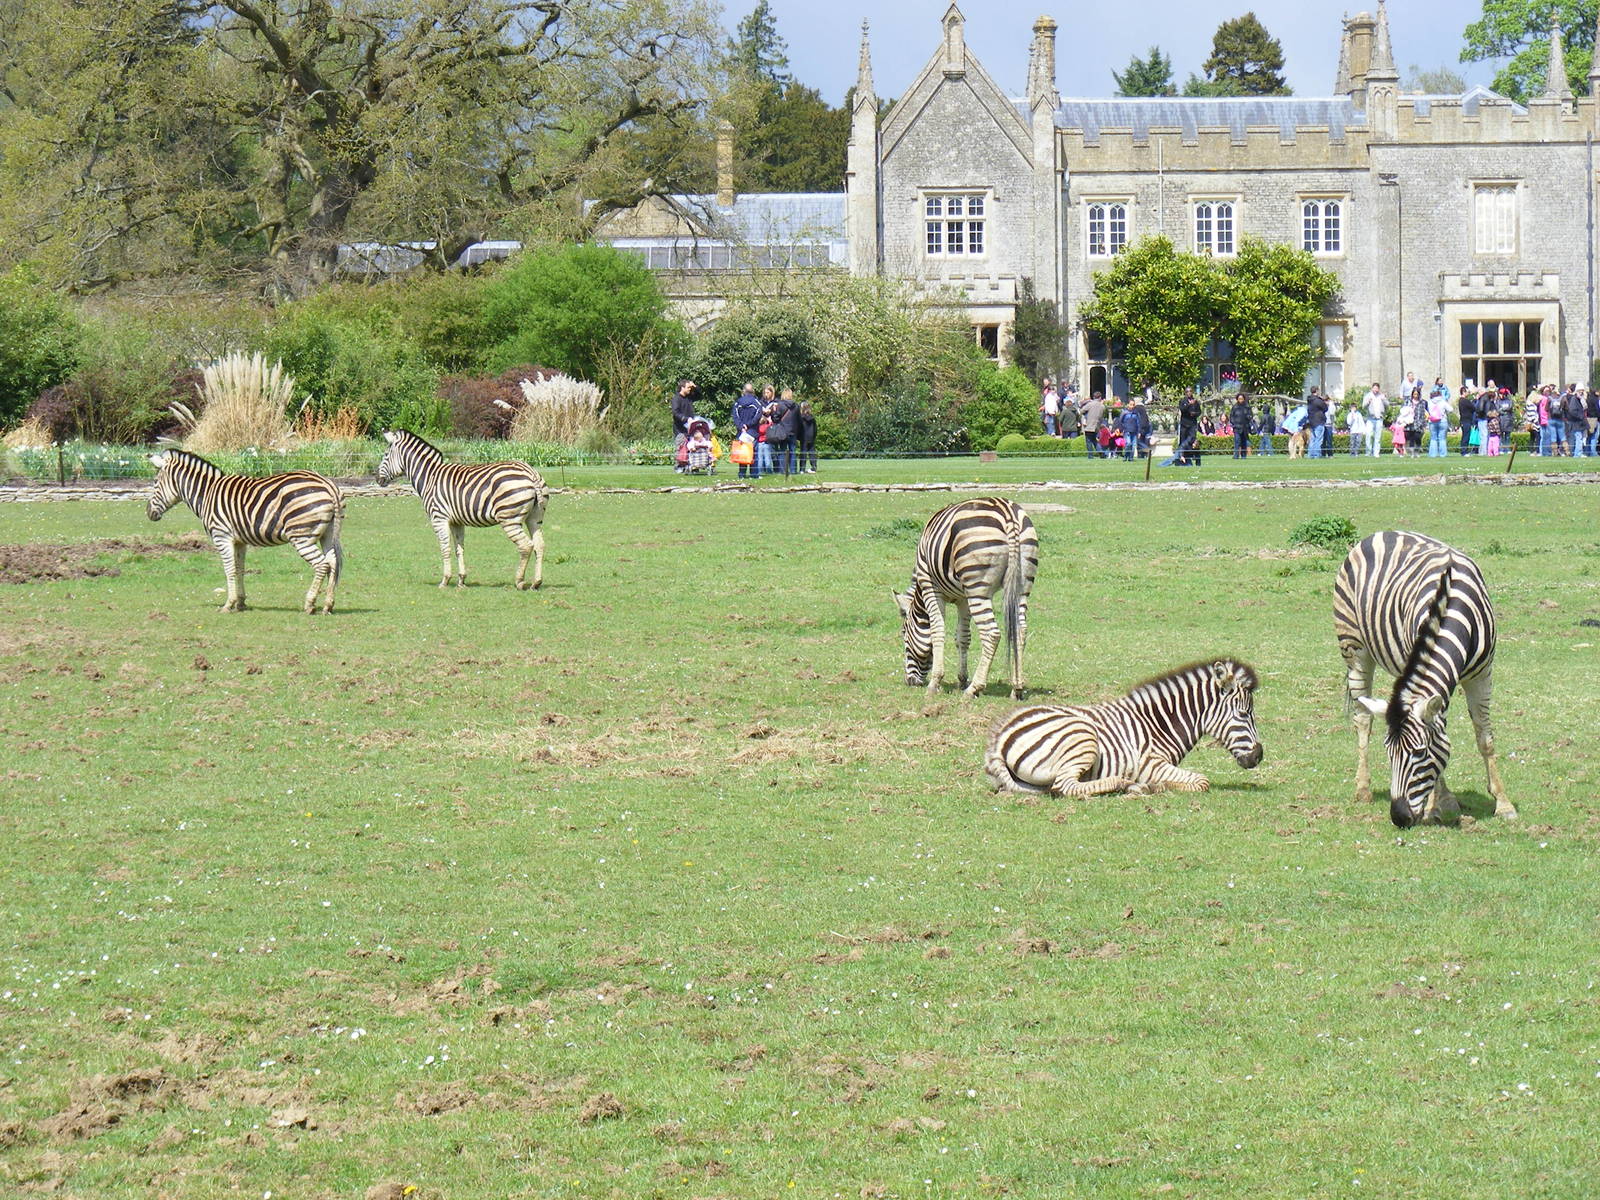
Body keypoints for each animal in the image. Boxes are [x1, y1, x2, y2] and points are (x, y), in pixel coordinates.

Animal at [147, 449, 343, 614]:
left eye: (155, 483)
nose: (148, 513)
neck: (207, 493)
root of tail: (327, 484)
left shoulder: (222, 536)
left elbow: (229, 569)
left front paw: (228, 604)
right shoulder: (240, 541)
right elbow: (240, 568)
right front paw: (240, 603)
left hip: (301, 535)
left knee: (322, 564)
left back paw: (309, 604)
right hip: (327, 534)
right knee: (333, 562)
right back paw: (328, 605)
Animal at [377, 430, 549, 590]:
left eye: (385, 455)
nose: (377, 479)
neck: (429, 477)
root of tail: (530, 472)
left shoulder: (438, 518)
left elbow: (445, 549)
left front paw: (445, 580)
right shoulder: (457, 522)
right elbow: (459, 549)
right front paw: (461, 580)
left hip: (509, 518)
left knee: (526, 546)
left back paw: (519, 581)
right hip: (534, 518)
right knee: (539, 545)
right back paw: (536, 583)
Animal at [893, 497, 1039, 699]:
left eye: (903, 633)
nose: (910, 682)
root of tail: (1007, 514)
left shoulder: (930, 586)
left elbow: (937, 630)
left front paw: (935, 683)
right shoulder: (963, 598)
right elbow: (963, 637)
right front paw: (962, 680)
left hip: (977, 585)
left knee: (991, 633)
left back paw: (974, 688)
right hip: (1021, 585)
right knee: (1021, 630)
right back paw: (1016, 688)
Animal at [985, 659, 1263, 796]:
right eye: (1243, 714)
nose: (1258, 756)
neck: (1158, 724)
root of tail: (999, 738)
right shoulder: (1151, 764)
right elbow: (1202, 781)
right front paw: (1153, 786)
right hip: (1083, 737)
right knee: (1066, 787)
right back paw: (1124, 784)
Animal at [1334, 530, 1516, 828]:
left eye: (1419, 753)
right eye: (1389, 753)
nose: (1399, 817)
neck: (1453, 605)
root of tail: (1381, 533)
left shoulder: (1482, 675)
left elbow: (1484, 737)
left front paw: (1503, 803)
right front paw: (1436, 806)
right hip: (1355, 650)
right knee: (1363, 719)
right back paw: (1363, 789)